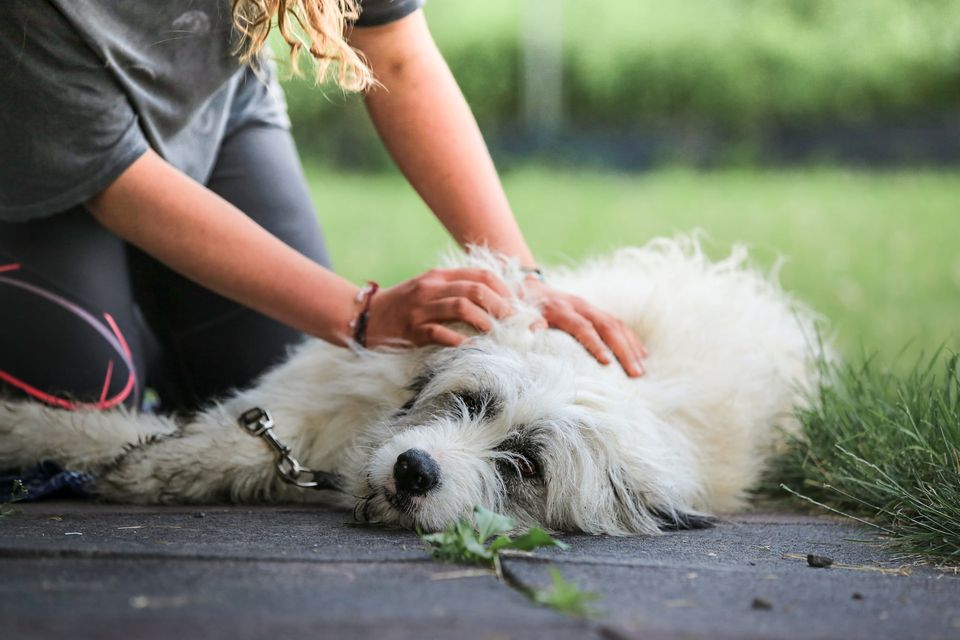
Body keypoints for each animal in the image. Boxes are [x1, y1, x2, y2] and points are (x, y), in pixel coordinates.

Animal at [1, 235, 824, 536]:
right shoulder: (317, 398)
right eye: (469, 402)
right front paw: (34, 432)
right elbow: (167, 436)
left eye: (526, 467)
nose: (415, 469)